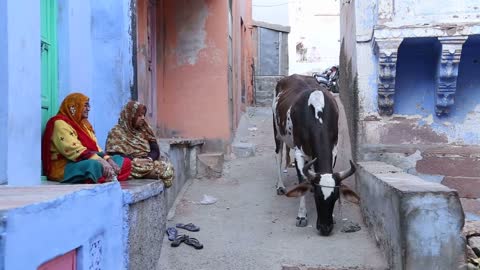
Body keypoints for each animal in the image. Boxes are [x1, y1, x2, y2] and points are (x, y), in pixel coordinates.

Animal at [272, 74, 354, 236]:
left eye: (336, 197)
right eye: (317, 196)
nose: (325, 228)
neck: (317, 114)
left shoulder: (333, 150)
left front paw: (333, 216)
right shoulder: (299, 152)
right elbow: (302, 179)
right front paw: (301, 216)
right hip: (277, 132)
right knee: (278, 156)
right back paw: (280, 186)